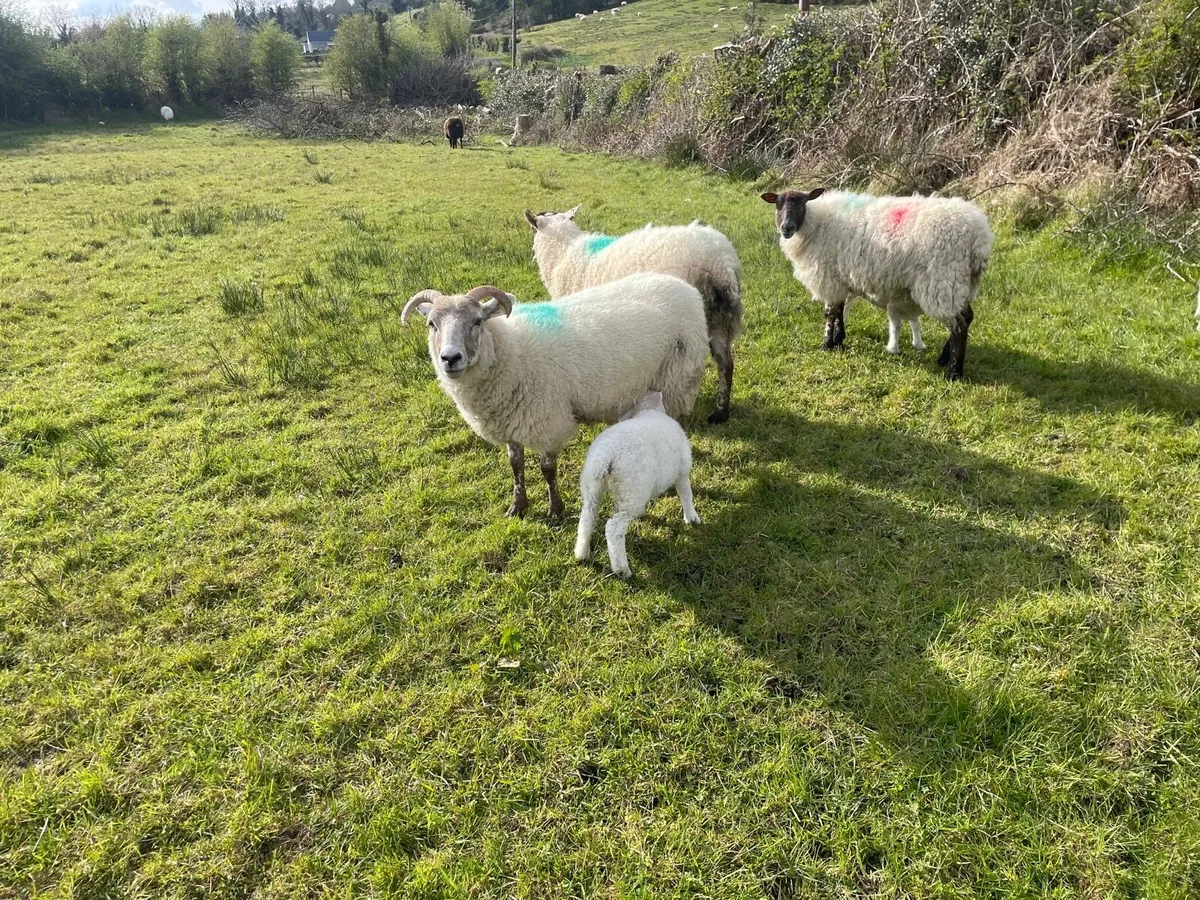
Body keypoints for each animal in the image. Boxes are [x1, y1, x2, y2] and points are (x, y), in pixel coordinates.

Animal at [402, 276, 709, 520]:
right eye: (431, 324)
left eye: (477, 321)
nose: (450, 358)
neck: (508, 352)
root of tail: (685, 286)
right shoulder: (509, 420)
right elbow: (515, 465)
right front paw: (518, 506)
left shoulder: (546, 420)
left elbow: (547, 469)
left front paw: (556, 510)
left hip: (678, 378)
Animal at [523, 205, 744, 424]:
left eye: (533, 228)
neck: (563, 254)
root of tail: (720, 265)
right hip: (718, 322)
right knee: (726, 365)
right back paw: (720, 413)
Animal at [575, 390, 699, 578]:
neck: (648, 411)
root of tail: (606, 457)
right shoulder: (682, 470)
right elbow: (686, 493)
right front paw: (691, 517)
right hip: (630, 493)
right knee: (613, 528)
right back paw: (622, 570)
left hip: (593, 488)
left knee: (587, 518)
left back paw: (582, 553)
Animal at [762, 188, 994, 380]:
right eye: (778, 204)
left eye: (802, 203)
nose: (786, 228)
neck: (815, 224)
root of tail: (980, 238)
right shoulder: (842, 278)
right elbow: (839, 310)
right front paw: (839, 339)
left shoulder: (830, 277)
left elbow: (830, 312)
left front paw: (827, 344)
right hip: (962, 283)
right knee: (967, 318)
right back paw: (944, 358)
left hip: (943, 280)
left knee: (959, 326)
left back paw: (954, 372)